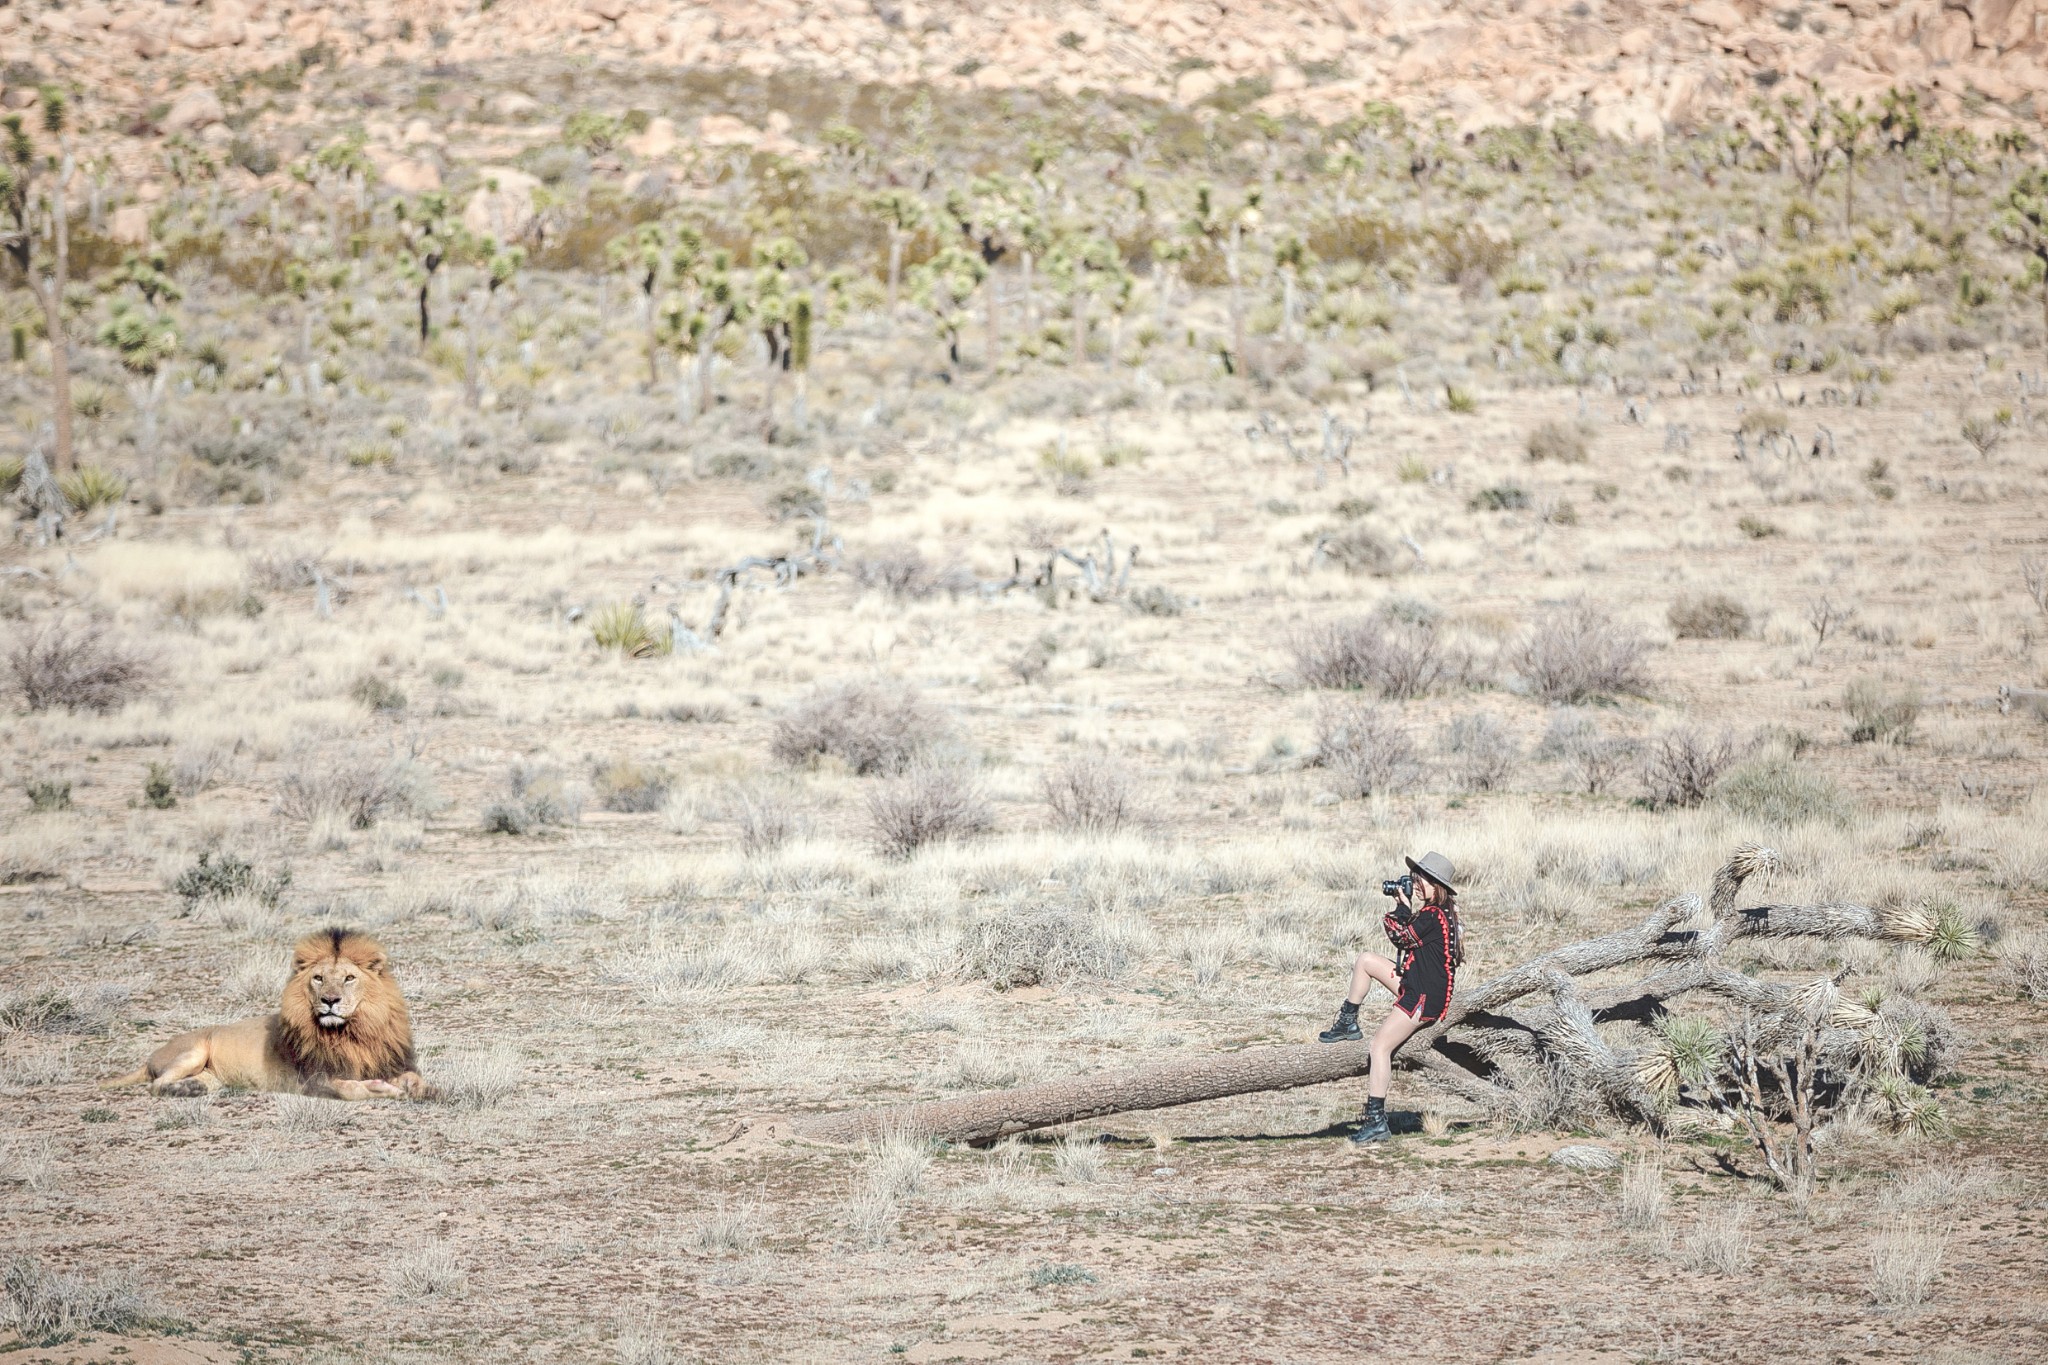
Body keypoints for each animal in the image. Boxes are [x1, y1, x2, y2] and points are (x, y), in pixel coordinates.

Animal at [105, 925, 434, 1105]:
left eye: (349, 978)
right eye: (318, 978)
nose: (329, 1000)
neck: (352, 1032)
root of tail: (152, 1057)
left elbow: (416, 1079)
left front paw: (427, 1090)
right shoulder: (312, 1080)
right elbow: (352, 1089)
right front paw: (384, 1089)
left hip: (212, 1074)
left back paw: (192, 1087)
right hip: (192, 1052)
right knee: (156, 1085)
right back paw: (183, 1089)